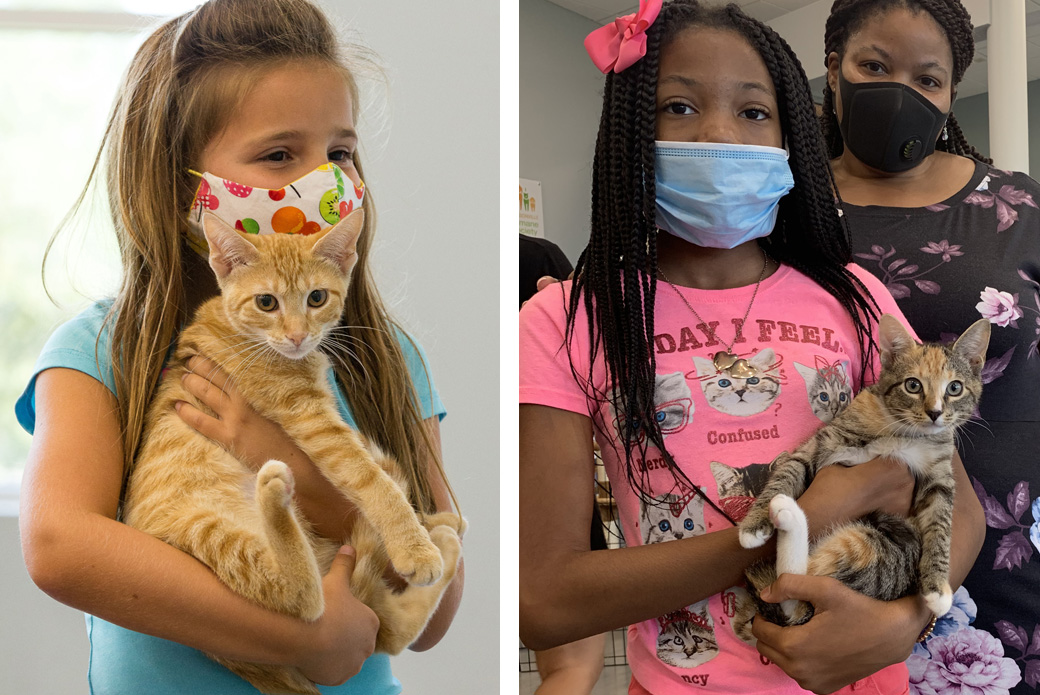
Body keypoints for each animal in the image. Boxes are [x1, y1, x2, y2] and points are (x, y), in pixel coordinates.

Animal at [122, 212, 463, 695]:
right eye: (267, 302)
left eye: (316, 297)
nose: (299, 336)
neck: (239, 328)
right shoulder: (311, 419)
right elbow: (370, 478)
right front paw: (412, 545)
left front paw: (423, 525)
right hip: (211, 537)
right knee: (302, 600)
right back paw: (275, 494)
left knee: (391, 630)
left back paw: (445, 534)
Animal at [736, 316, 985, 624]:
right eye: (913, 385)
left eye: (955, 388)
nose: (935, 413)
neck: (905, 431)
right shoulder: (823, 444)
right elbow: (788, 471)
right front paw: (754, 525)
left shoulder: (939, 474)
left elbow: (941, 524)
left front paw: (937, 589)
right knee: (796, 587)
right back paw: (784, 511)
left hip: (890, 545)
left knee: (798, 588)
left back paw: (788, 515)